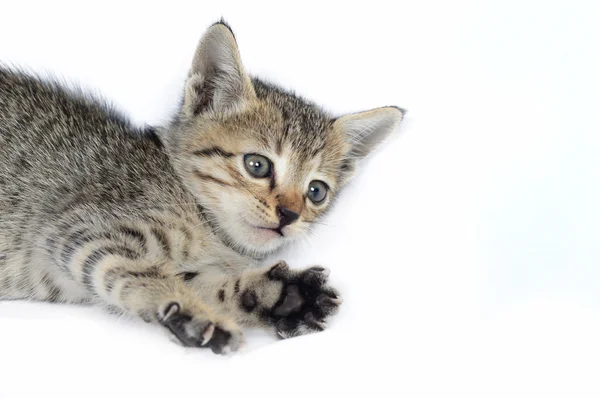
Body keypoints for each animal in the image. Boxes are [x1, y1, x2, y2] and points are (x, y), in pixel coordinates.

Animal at [0, 21, 406, 354]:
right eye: (257, 165)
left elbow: (206, 283)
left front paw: (280, 297)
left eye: (316, 191)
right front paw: (191, 312)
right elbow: (141, 272)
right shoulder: (81, 229)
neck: (208, 230)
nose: (289, 215)